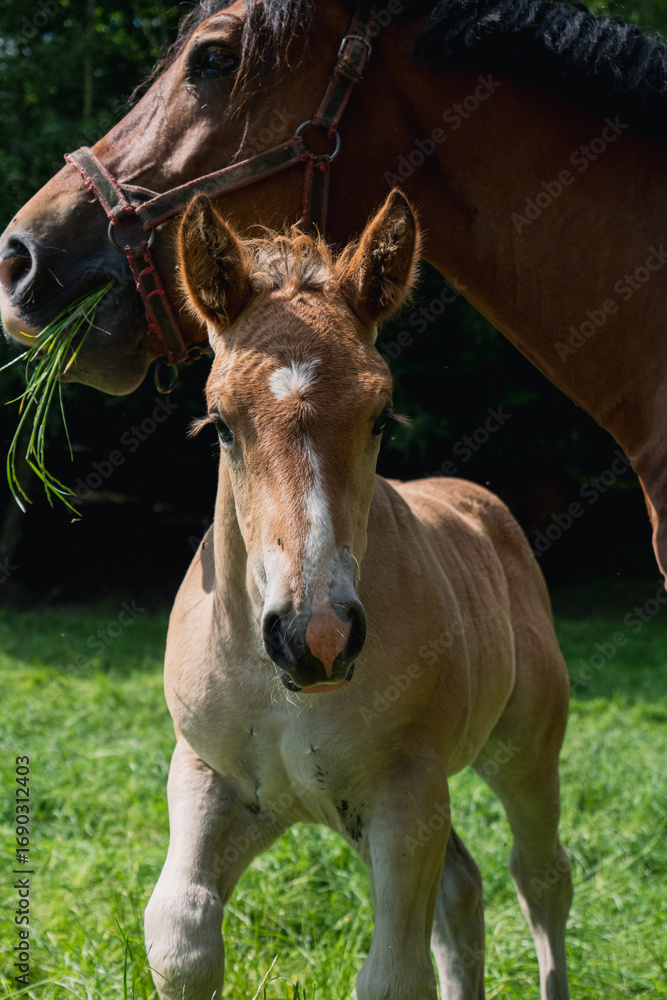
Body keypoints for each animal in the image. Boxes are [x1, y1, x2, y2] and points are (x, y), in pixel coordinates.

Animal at [142, 188, 572, 1000]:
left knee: (539, 881)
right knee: (463, 892)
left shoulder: (405, 794)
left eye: (380, 415)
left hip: (522, 755)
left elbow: (392, 975)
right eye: (220, 424)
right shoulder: (209, 776)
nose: (314, 637)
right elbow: (180, 937)